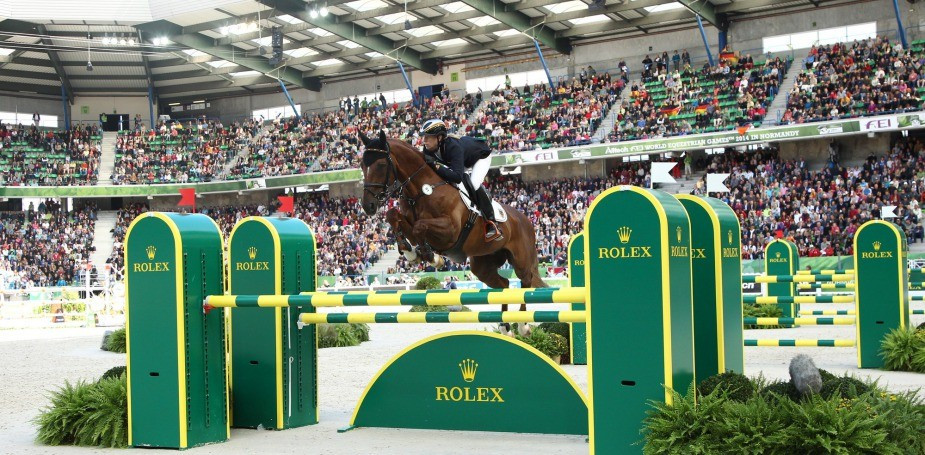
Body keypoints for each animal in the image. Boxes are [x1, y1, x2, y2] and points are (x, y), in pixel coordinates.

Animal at [357, 130, 547, 315]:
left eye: (381, 165)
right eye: (362, 166)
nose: (368, 206)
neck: (421, 190)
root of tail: (525, 220)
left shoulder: (450, 232)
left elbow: (420, 227)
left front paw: (432, 257)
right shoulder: (411, 225)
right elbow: (393, 215)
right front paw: (409, 250)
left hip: (521, 260)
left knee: (525, 282)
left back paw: (521, 322)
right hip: (483, 263)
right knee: (505, 284)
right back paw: (505, 322)